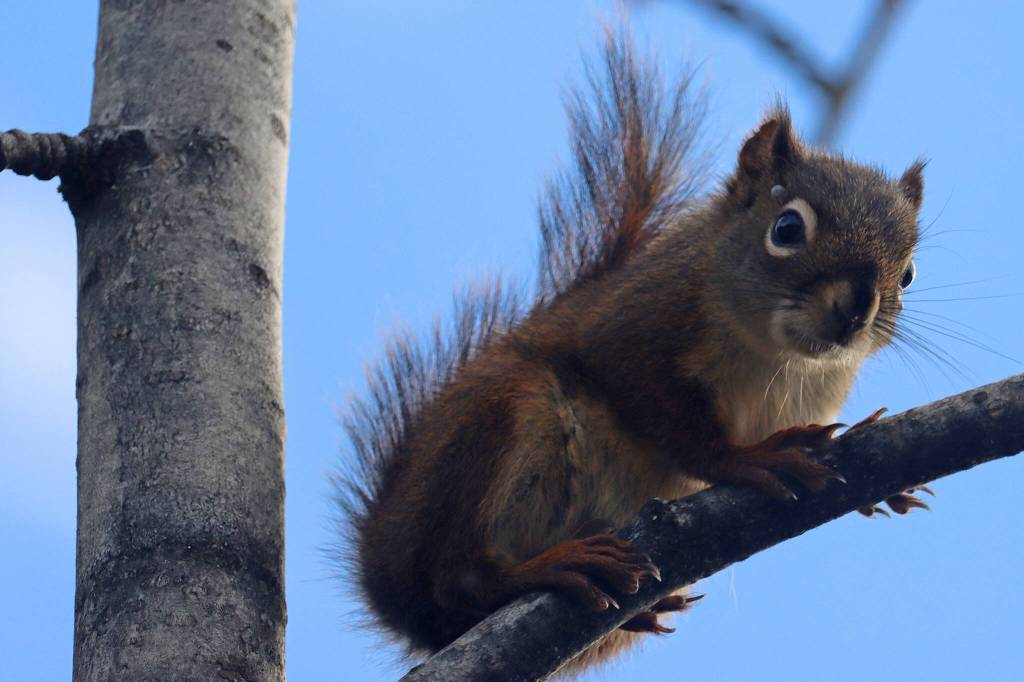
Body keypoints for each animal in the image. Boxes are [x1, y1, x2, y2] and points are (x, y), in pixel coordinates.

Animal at [336, 31, 926, 676]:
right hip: (502, 419)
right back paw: (550, 568)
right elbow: (668, 417)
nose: (857, 309)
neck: (776, 357)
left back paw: (638, 608)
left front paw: (871, 471)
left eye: (909, 274)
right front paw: (747, 459)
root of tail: (390, 587)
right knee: (459, 580)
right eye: (787, 229)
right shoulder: (635, 327)